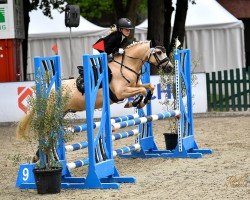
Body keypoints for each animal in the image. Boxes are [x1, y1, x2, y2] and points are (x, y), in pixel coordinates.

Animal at [15, 39, 172, 138]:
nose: (170, 67)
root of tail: (49, 91)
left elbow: (149, 87)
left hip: (61, 112)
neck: (127, 66)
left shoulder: (134, 85)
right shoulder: (121, 92)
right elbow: (142, 91)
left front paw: (140, 101)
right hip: (52, 112)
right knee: (46, 130)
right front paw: (136, 102)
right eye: (158, 53)